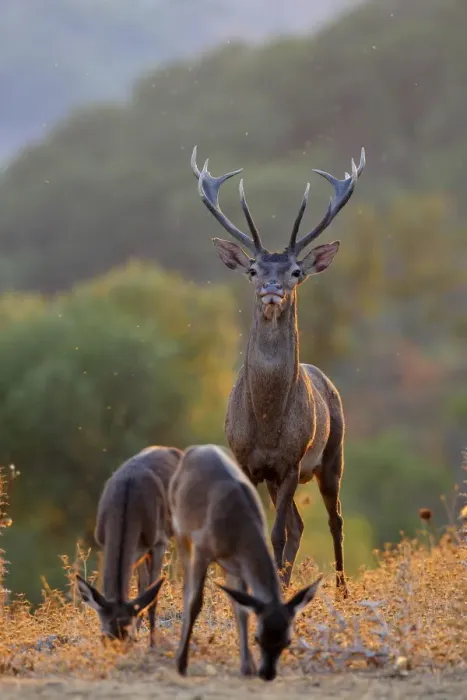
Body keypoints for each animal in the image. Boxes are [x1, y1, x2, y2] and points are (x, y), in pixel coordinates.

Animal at [76, 445, 183, 646]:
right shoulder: (105, 542)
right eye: (104, 637)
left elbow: (153, 596)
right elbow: (141, 592)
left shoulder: (159, 541)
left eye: (128, 637)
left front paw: (152, 645)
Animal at [169, 444, 322, 681]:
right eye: (258, 638)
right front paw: (182, 663)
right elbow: (196, 602)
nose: (267, 673)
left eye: (287, 640)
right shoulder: (203, 548)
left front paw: (247, 666)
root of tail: (195, 449)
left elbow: (241, 608)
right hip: (181, 530)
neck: (238, 531)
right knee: (187, 587)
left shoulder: (239, 566)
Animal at [191, 146, 365, 595]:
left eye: (295, 271)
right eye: (253, 269)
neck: (267, 425)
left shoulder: (290, 461)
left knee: (334, 519)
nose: (272, 290)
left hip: (333, 454)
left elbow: (276, 534)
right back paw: (284, 583)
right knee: (300, 527)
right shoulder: (245, 461)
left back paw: (341, 590)